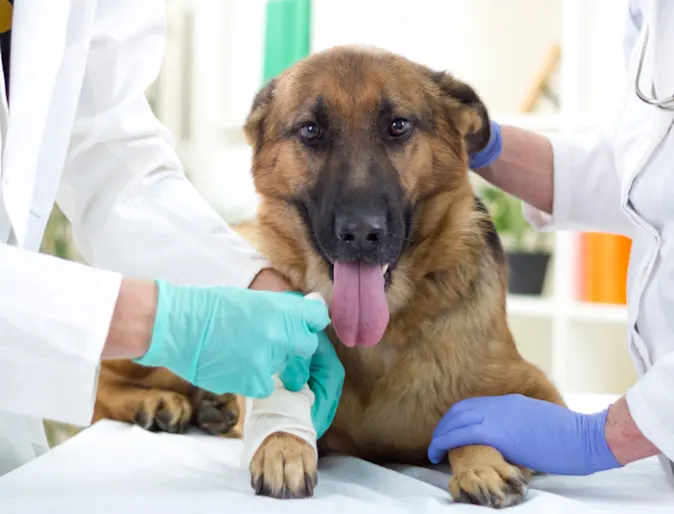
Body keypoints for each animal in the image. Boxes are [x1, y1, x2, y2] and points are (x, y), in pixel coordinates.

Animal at [92, 45, 560, 508]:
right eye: (311, 130)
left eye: (398, 125)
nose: (361, 232)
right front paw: (282, 443)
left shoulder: (539, 392)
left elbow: (489, 420)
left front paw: (481, 460)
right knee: (102, 381)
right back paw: (155, 402)